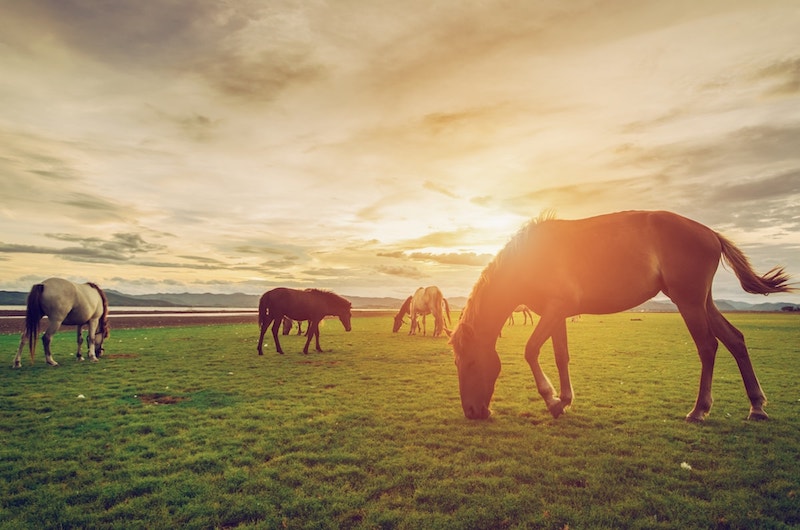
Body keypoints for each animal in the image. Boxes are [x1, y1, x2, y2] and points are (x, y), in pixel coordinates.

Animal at [450, 210, 792, 420]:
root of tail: (710, 233)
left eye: (467, 362)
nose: (472, 411)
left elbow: (531, 350)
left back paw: (699, 410)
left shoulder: (555, 310)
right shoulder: (557, 313)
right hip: (703, 302)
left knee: (708, 347)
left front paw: (551, 399)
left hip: (689, 302)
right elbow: (561, 356)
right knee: (735, 340)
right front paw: (564, 400)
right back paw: (756, 406)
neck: (529, 258)